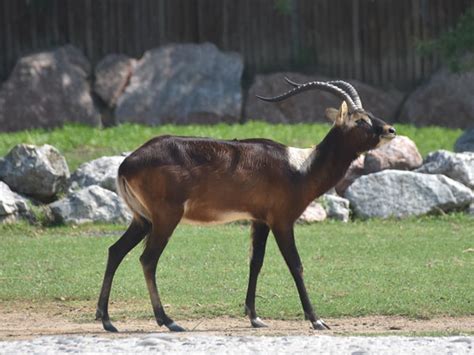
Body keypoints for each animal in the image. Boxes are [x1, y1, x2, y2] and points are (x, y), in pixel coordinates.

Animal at [96, 78, 396, 334]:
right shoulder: (282, 221)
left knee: (115, 251)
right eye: (360, 119)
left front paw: (255, 317)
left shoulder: (259, 220)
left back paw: (107, 320)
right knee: (148, 259)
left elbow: (256, 262)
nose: (390, 130)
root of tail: (127, 162)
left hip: (143, 220)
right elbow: (296, 264)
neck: (299, 167)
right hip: (165, 219)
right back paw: (168, 321)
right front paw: (317, 320)